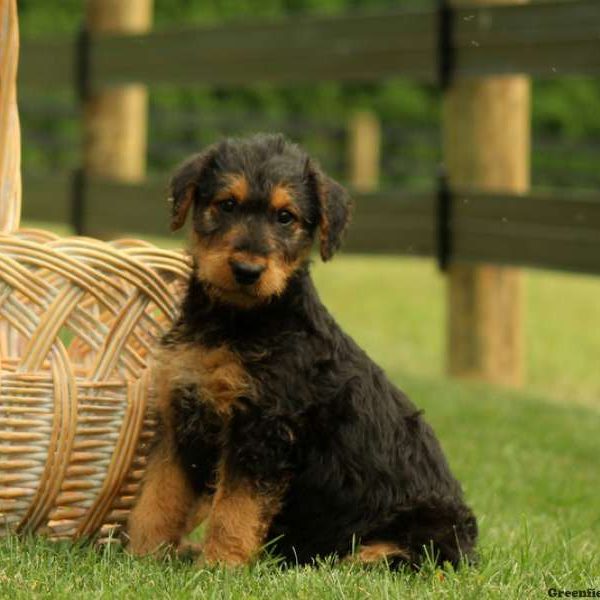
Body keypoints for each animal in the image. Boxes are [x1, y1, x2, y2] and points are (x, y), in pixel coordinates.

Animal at [127, 131, 478, 568]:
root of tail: (471, 548)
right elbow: (157, 498)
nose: (247, 271)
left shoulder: (263, 430)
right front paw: (139, 559)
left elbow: (233, 511)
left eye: (285, 217)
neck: (236, 322)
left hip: (413, 539)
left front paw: (219, 566)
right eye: (227, 204)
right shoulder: (179, 416)